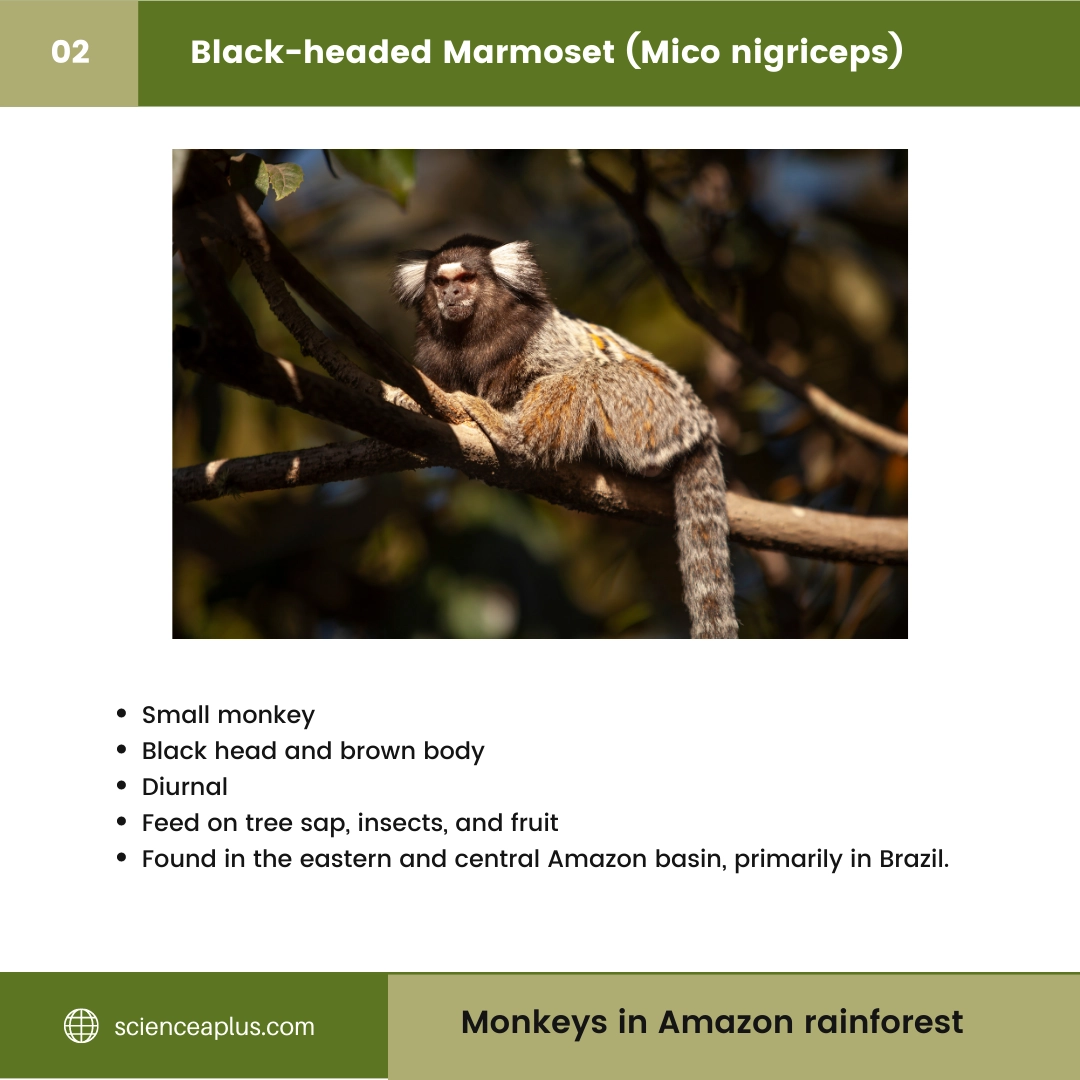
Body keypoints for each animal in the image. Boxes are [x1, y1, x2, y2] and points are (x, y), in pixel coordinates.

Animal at [394, 235, 737, 638]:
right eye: (440, 282)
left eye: (467, 278)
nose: (452, 293)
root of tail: (703, 425)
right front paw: (407, 398)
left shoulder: (542, 341)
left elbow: (566, 369)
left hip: (651, 409)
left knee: (586, 375)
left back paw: (512, 436)